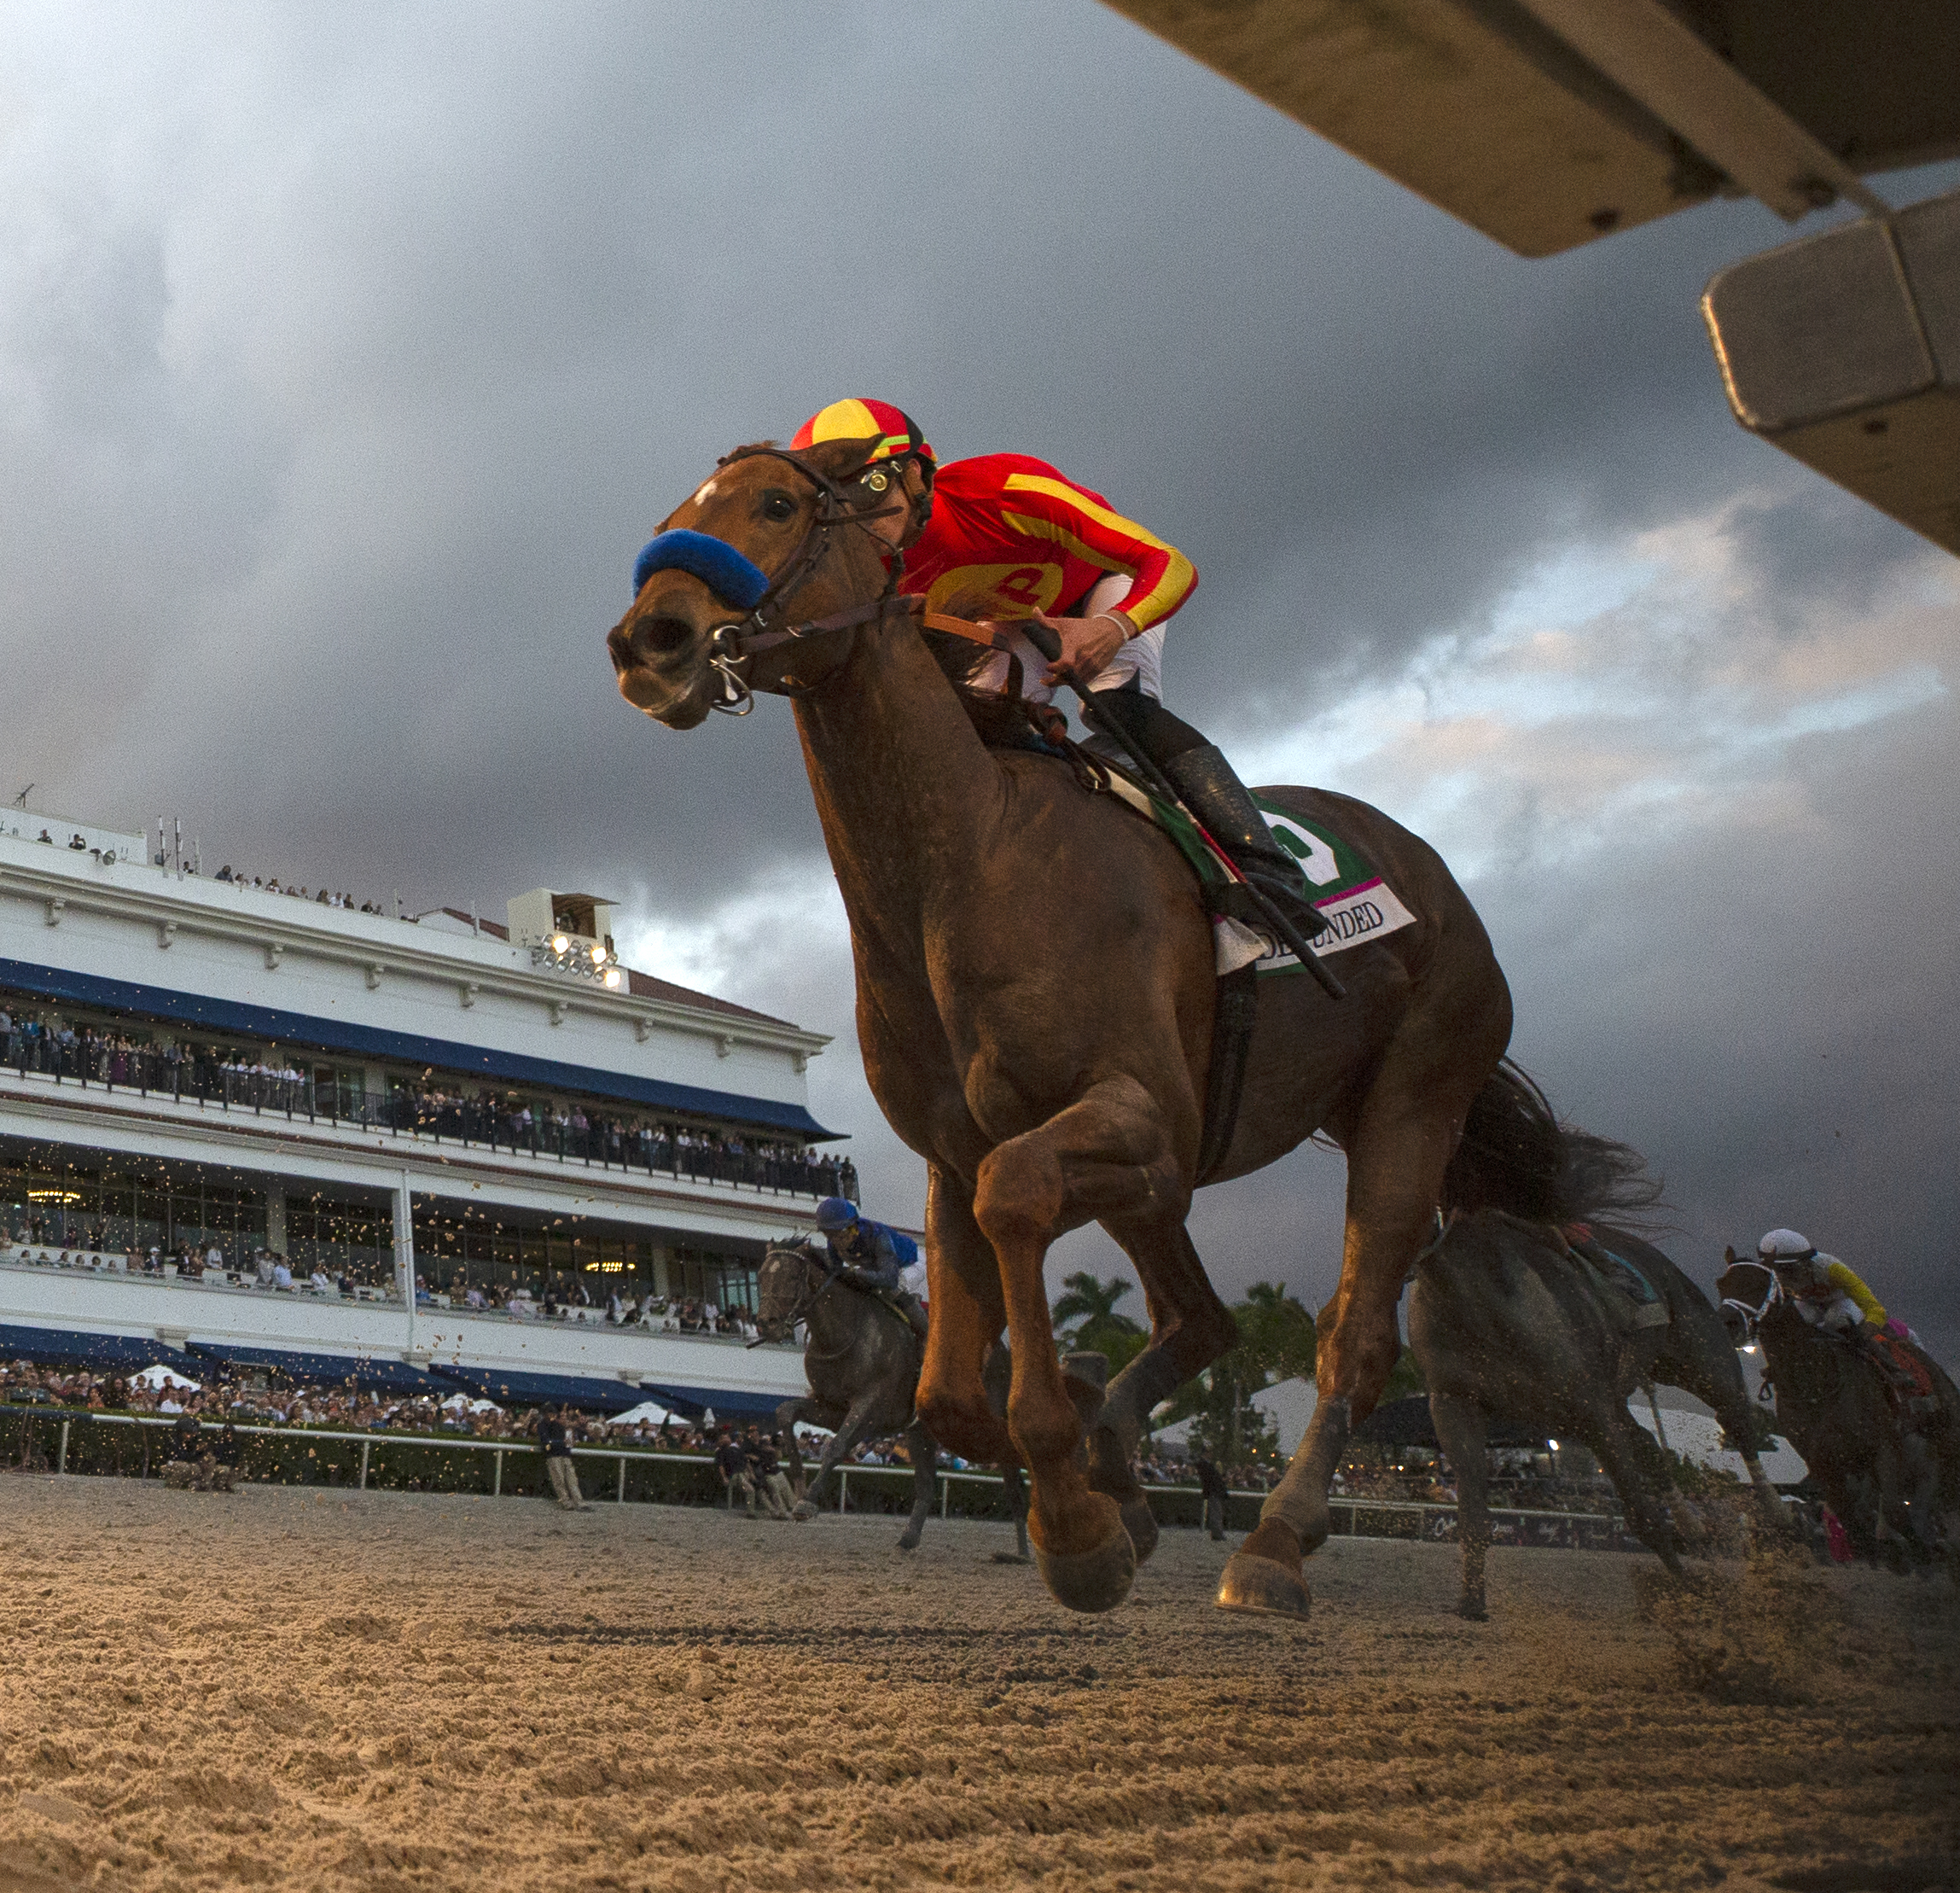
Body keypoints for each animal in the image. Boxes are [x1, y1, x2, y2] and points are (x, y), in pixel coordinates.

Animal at [1419, 1207, 1787, 1622]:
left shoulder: (1590, 1408)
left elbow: (1642, 1515)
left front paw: (1689, 1590)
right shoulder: (1453, 1403)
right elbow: (1473, 1514)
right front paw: (1472, 1602)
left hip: (1703, 1362)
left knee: (1738, 1423)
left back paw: (1775, 1514)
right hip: (1617, 1396)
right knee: (1649, 1445)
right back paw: (1692, 1524)